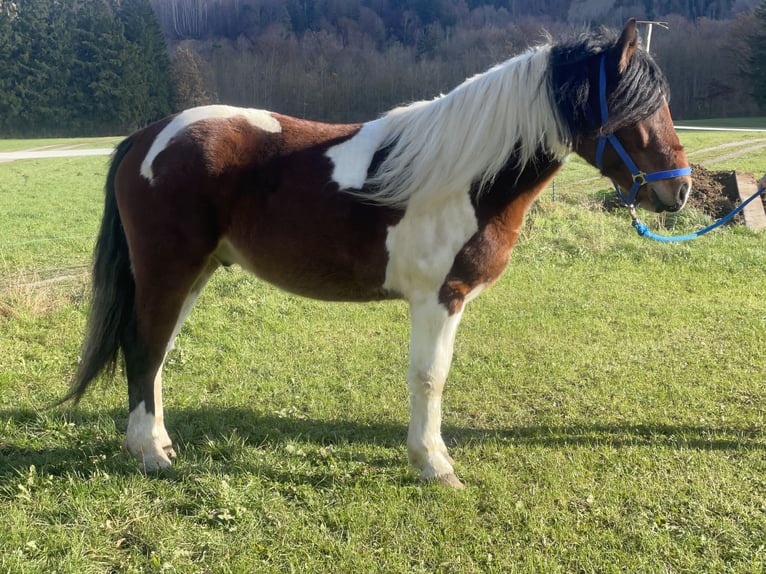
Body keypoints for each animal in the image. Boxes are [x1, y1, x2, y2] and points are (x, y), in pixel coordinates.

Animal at [63, 21, 692, 490]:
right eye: (639, 107)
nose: (679, 190)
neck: (466, 175)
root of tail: (147, 137)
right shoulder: (439, 299)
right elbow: (430, 377)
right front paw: (434, 465)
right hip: (167, 271)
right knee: (144, 348)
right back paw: (149, 453)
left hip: (193, 274)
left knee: (158, 353)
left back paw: (161, 442)